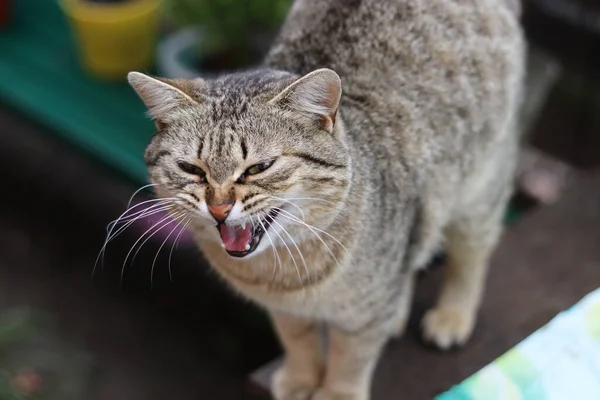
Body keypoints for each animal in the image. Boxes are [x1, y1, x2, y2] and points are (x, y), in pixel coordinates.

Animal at [127, 1, 524, 398]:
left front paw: (336, 392)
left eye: (259, 167)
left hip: (479, 189)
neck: (283, 271)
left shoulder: (362, 317)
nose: (219, 207)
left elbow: (349, 360)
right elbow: (297, 340)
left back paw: (452, 315)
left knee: (470, 256)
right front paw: (300, 380)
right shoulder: (284, 310)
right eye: (190, 169)